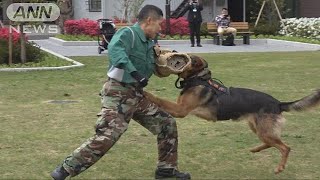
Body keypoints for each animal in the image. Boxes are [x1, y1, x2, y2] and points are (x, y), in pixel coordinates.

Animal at [145, 55, 320, 174]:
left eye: (192, 60)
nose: (175, 53)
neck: (197, 79)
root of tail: (278, 103)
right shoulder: (179, 107)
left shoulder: (180, 110)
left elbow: (159, 99)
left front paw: (146, 93)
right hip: (257, 128)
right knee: (271, 142)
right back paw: (255, 149)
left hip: (263, 130)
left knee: (285, 147)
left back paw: (280, 167)